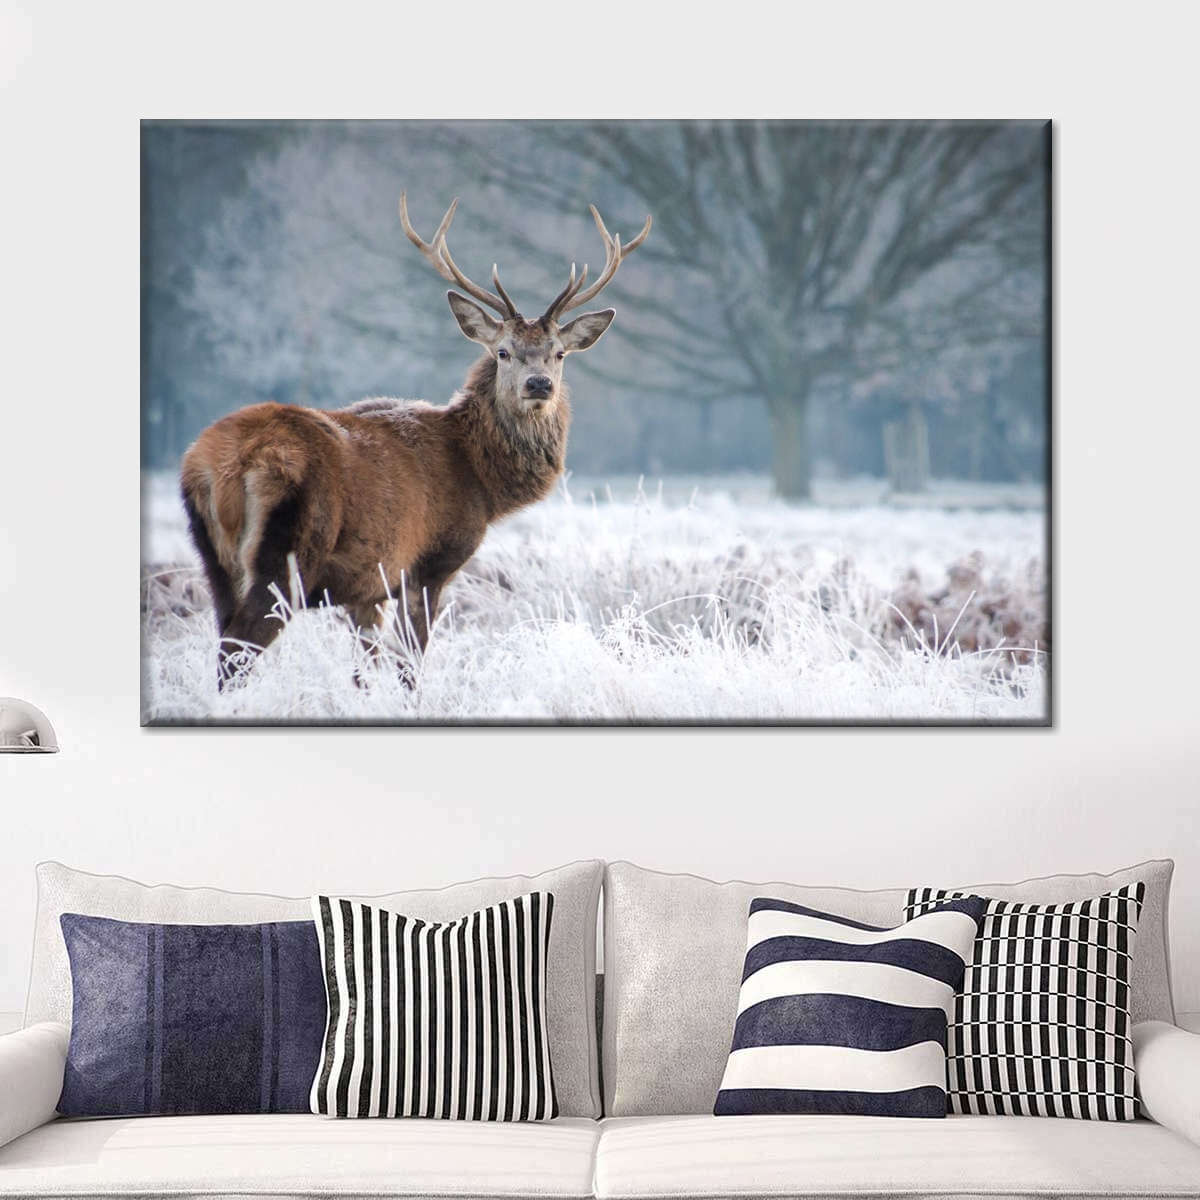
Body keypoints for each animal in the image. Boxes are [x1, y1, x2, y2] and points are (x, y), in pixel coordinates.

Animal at [180, 194, 651, 688]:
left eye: (559, 354)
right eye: (503, 352)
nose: (539, 384)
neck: (480, 481)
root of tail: (222, 467)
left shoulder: (366, 586)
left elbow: (364, 671)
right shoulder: (427, 565)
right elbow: (409, 667)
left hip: (213, 559)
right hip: (287, 553)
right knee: (235, 654)